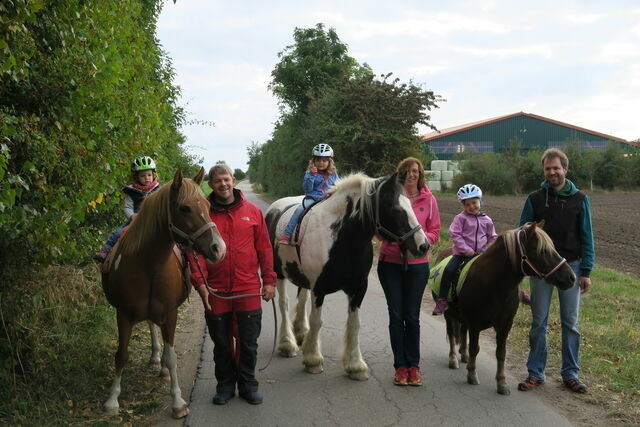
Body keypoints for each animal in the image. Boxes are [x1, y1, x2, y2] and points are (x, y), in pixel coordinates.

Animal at [101, 169, 226, 420]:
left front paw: (177, 403)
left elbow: (172, 357)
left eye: (208, 205)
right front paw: (112, 401)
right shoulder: (123, 314)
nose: (219, 248)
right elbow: (121, 355)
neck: (148, 264)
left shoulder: (170, 313)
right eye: (184, 208)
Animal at [264, 174, 430, 382]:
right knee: (284, 304)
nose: (424, 245)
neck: (341, 239)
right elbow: (317, 321)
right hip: (278, 274)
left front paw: (355, 366)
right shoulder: (319, 289)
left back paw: (301, 333)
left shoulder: (358, 288)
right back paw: (287, 343)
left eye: (410, 204)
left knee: (301, 299)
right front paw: (313, 359)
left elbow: (354, 324)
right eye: (395, 209)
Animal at [430, 222, 576, 396]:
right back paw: (453, 359)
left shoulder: (505, 325)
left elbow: (501, 353)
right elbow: (475, 348)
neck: (494, 283)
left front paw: (501, 383)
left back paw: (463, 355)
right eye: (543, 251)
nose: (571, 277)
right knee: (452, 334)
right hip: (448, 314)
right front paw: (472, 374)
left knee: (462, 332)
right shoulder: (475, 323)